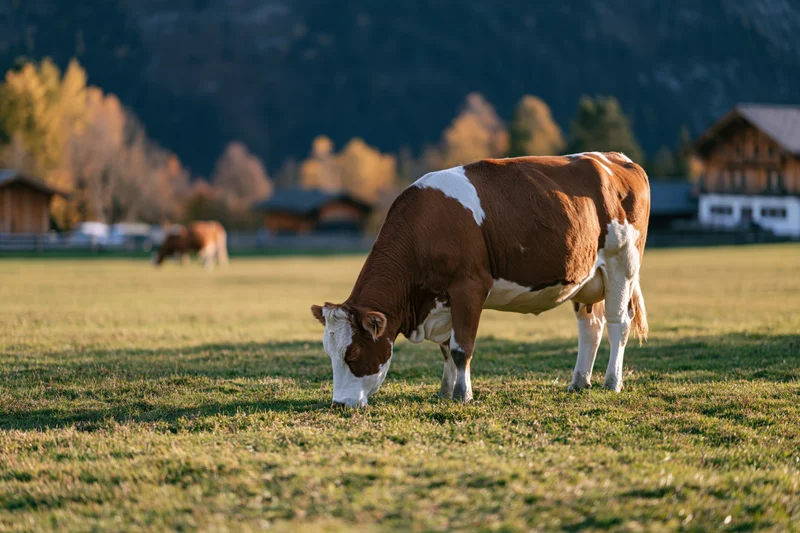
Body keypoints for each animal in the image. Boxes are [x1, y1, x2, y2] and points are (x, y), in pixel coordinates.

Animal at [311, 152, 650, 408]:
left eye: (352, 353)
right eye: (329, 353)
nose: (339, 404)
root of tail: (612, 158)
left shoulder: (469, 287)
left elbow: (462, 348)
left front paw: (463, 395)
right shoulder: (443, 299)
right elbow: (446, 348)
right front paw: (445, 391)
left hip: (623, 264)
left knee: (618, 323)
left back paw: (612, 382)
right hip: (585, 276)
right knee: (590, 327)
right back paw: (579, 382)